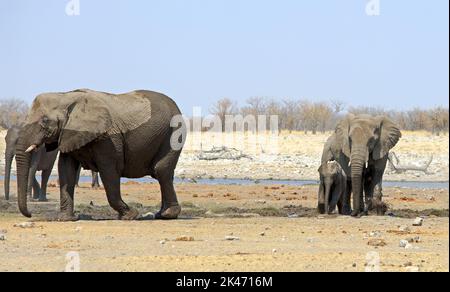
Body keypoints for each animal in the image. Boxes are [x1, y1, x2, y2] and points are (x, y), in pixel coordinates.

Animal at [15, 89, 185, 221]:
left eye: (45, 121)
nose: (30, 214)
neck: (66, 96)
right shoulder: (68, 134)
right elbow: (66, 169)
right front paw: (65, 219)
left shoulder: (108, 140)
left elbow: (109, 171)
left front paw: (130, 215)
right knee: (162, 173)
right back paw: (162, 214)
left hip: (173, 134)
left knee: (160, 170)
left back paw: (167, 215)